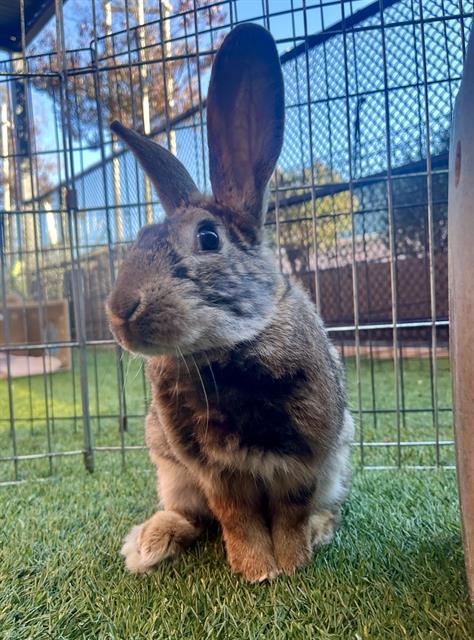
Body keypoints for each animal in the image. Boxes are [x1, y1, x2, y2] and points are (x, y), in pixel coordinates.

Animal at [107, 23, 354, 582]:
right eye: (140, 239)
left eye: (208, 238)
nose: (120, 311)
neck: (223, 353)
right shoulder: (213, 473)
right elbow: (235, 518)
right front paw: (257, 570)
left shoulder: (305, 462)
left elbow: (290, 512)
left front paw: (290, 565)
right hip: (170, 468)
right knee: (190, 515)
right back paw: (148, 544)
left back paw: (321, 531)